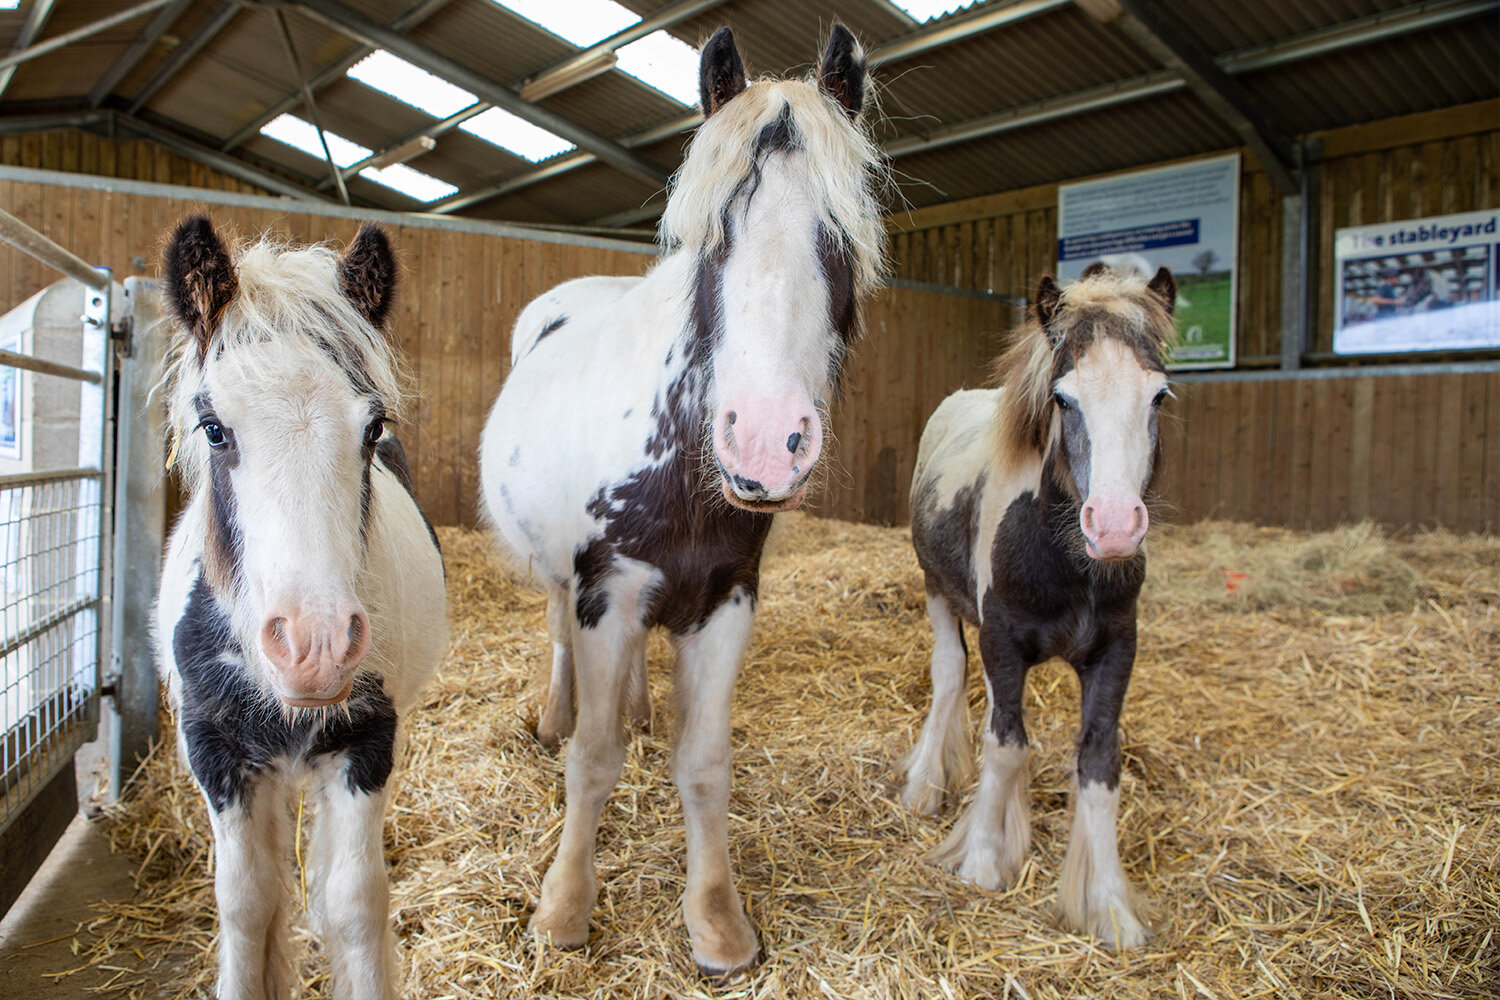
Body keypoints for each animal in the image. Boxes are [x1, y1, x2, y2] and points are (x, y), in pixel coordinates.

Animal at [154, 216, 447, 998]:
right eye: (214, 428)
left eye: (373, 428)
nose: (314, 648)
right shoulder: (216, 753)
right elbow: (247, 904)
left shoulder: (367, 743)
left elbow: (352, 903)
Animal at [478, 24, 883, 975]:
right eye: (716, 238)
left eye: (840, 234)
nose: (766, 440)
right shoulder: (607, 588)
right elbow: (593, 759)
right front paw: (564, 909)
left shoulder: (726, 598)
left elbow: (702, 762)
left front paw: (717, 922)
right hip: (565, 583)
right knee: (561, 643)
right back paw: (556, 715)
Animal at [899, 262, 1177, 949]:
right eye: (1063, 399)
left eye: (1159, 395)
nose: (1113, 527)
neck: (1067, 565)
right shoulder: (1001, 639)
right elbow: (1004, 746)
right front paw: (980, 861)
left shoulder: (1116, 651)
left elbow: (1099, 767)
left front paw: (1110, 907)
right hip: (937, 592)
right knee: (950, 679)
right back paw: (925, 786)